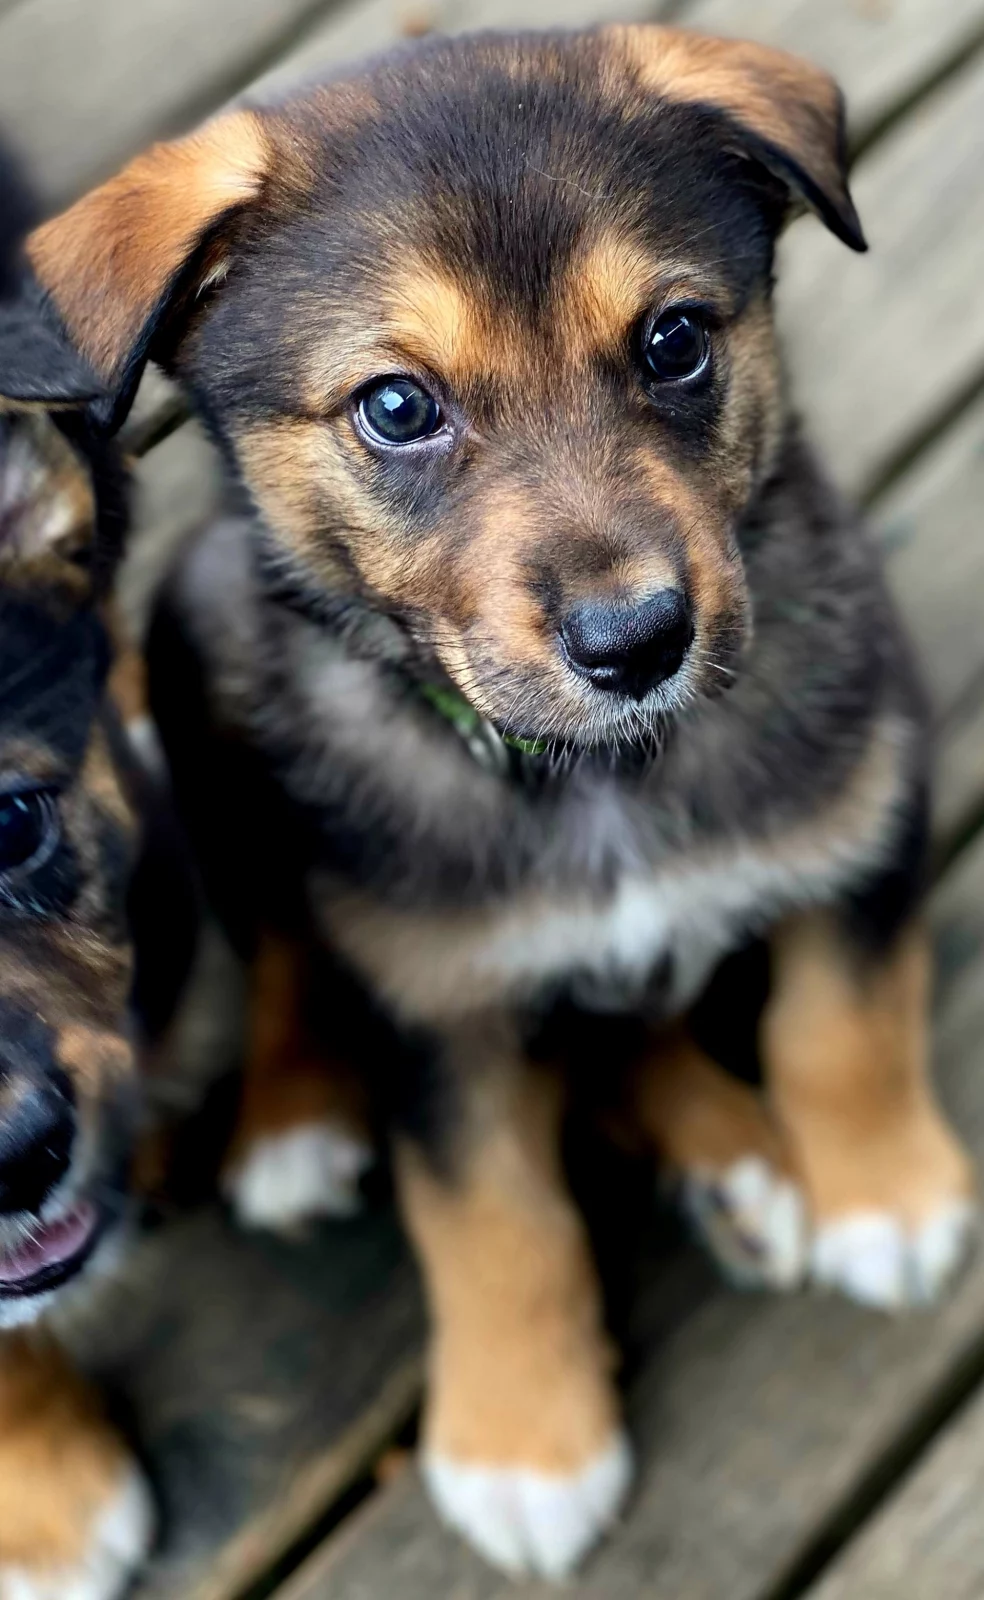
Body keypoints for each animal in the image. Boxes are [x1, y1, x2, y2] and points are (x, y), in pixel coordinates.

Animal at [27, 26, 977, 1578]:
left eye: (675, 341)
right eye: (398, 408)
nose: (637, 642)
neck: (599, 779)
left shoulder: (861, 803)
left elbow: (845, 1020)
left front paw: (885, 1196)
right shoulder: (439, 1003)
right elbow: (497, 1223)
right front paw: (528, 1448)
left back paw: (733, 1156)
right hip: (200, 648)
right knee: (282, 943)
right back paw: (298, 1121)